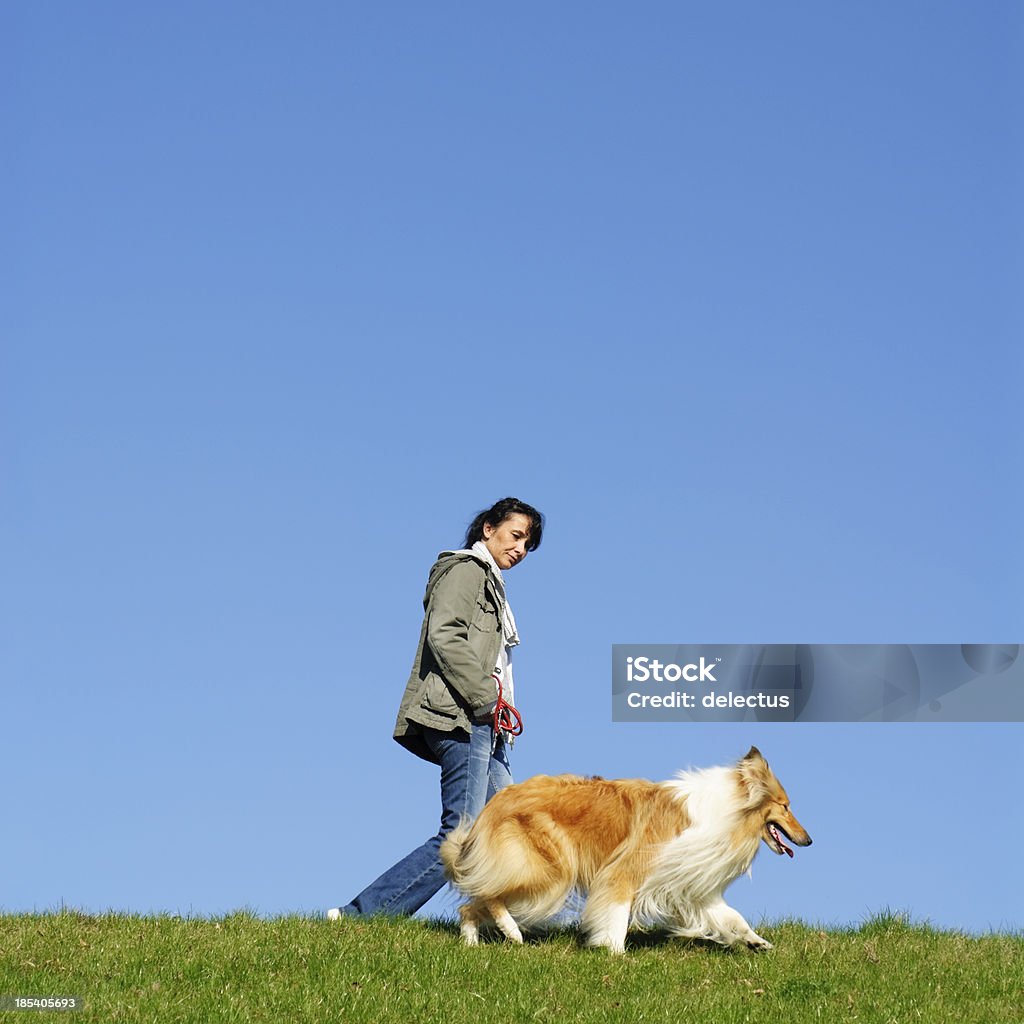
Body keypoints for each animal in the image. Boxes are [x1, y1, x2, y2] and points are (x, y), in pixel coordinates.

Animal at [440, 745, 806, 950]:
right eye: (786, 806)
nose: (809, 839)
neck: (729, 811)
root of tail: (495, 802)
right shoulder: (624, 871)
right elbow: (616, 915)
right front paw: (613, 953)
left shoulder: (690, 884)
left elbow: (732, 917)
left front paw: (756, 942)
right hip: (548, 870)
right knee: (488, 894)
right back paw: (513, 932)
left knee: (471, 904)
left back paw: (472, 943)